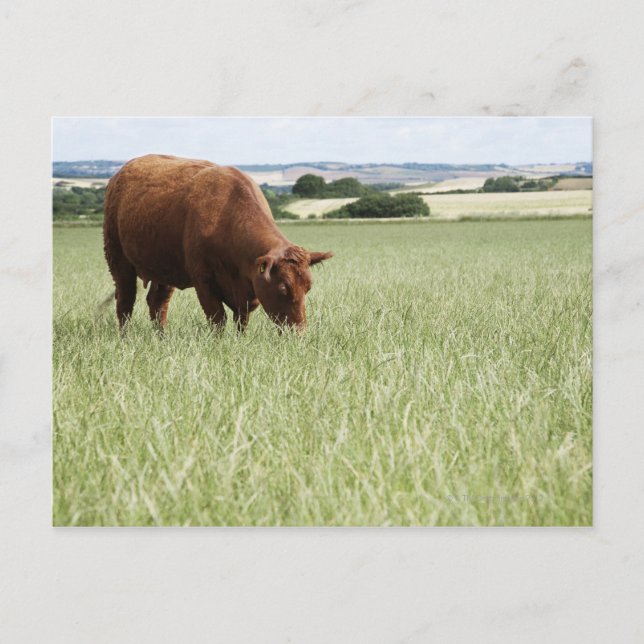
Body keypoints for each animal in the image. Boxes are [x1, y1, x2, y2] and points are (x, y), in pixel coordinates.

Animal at [103, 154, 333, 332]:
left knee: (157, 303)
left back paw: (162, 337)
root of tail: (121, 172)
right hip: (117, 258)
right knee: (125, 301)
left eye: (308, 287)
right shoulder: (203, 280)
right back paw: (125, 337)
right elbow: (217, 318)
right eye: (283, 288)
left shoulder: (246, 291)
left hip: (164, 267)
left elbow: (242, 320)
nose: (298, 332)